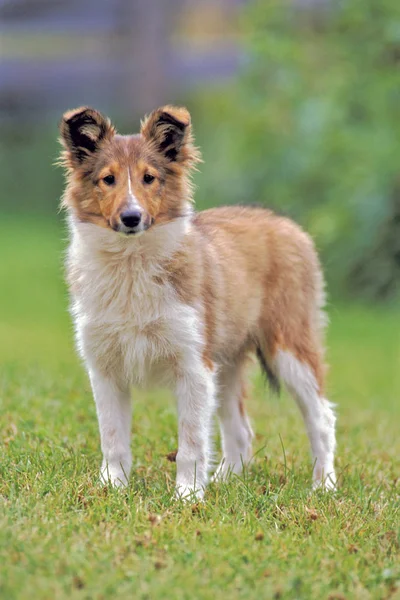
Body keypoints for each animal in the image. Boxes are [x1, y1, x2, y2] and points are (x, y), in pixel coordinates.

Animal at [58, 105, 334, 500]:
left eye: (149, 178)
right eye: (107, 179)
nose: (131, 218)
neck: (131, 263)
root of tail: (287, 225)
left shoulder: (192, 366)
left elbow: (190, 444)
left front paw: (187, 496)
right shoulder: (106, 367)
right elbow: (112, 439)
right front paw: (112, 489)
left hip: (289, 347)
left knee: (321, 418)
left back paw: (324, 484)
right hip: (227, 362)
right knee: (240, 429)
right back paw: (226, 480)